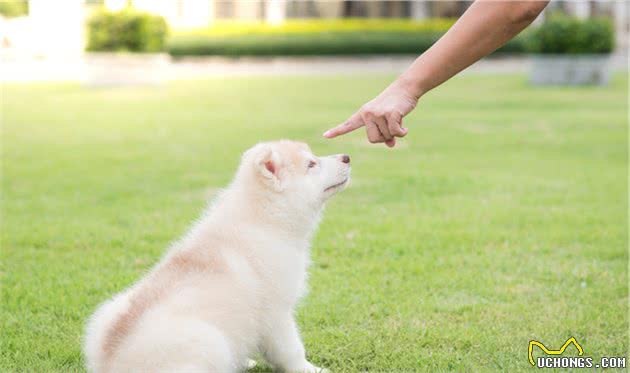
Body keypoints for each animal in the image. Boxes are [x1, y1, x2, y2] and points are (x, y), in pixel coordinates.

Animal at [82, 140, 350, 372]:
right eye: (311, 164)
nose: (346, 157)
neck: (263, 218)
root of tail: (111, 364)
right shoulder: (276, 313)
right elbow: (292, 350)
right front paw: (311, 369)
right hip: (210, 340)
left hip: (106, 312)